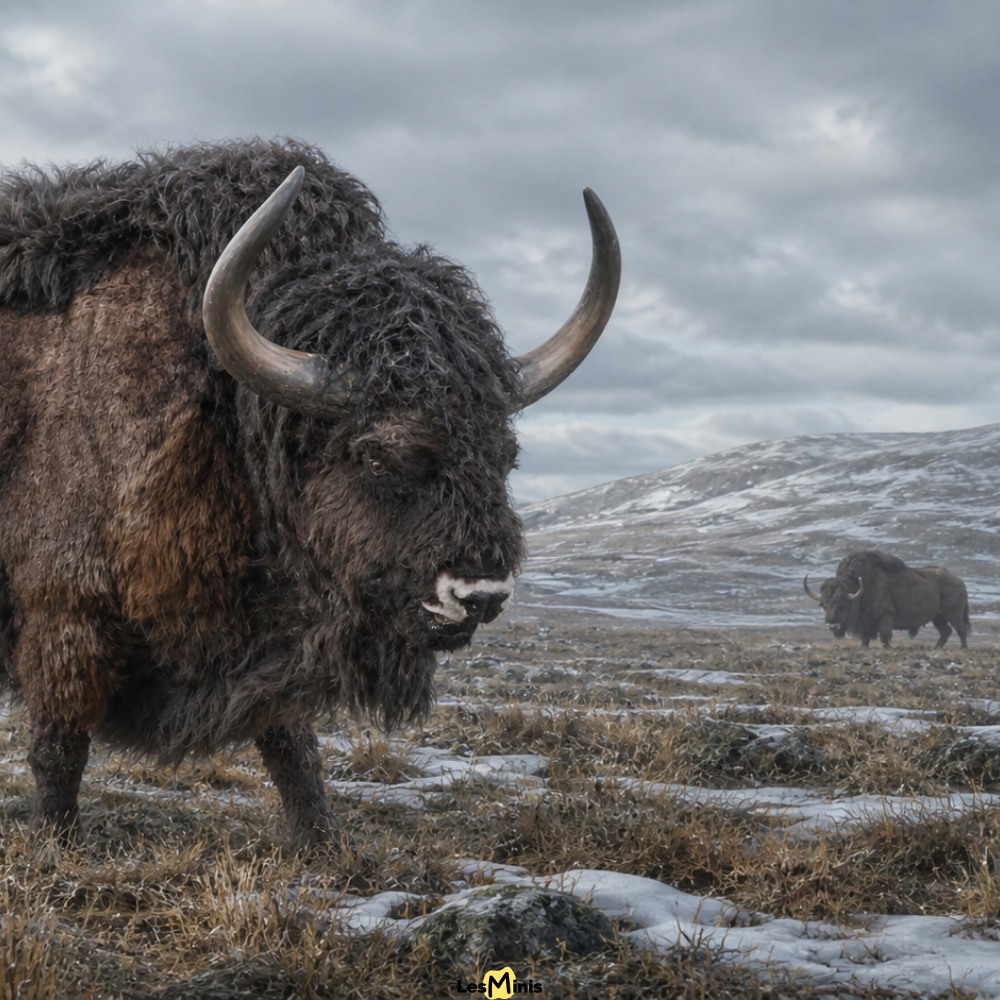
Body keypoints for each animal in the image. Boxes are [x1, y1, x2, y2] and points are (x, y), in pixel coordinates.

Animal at [0, 139, 620, 846]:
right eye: (378, 455)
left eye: (506, 454)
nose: (480, 594)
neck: (227, 412)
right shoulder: (65, 615)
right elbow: (59, 747)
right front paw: (56, 846)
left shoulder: (276, 646)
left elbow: (291, 743)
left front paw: (321, 841)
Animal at [804, 549, 970, 649]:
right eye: (823, 605)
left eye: (842, 605)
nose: (832, 625)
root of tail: (959, 581)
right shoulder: (866, 624)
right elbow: (865, 639)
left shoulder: (886, 617)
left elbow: (884, 636)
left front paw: (887, 647)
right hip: (938, 617)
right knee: (946, 632)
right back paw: (936, 648)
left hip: (952, 614)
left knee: (961, 629)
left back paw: (963, 648)